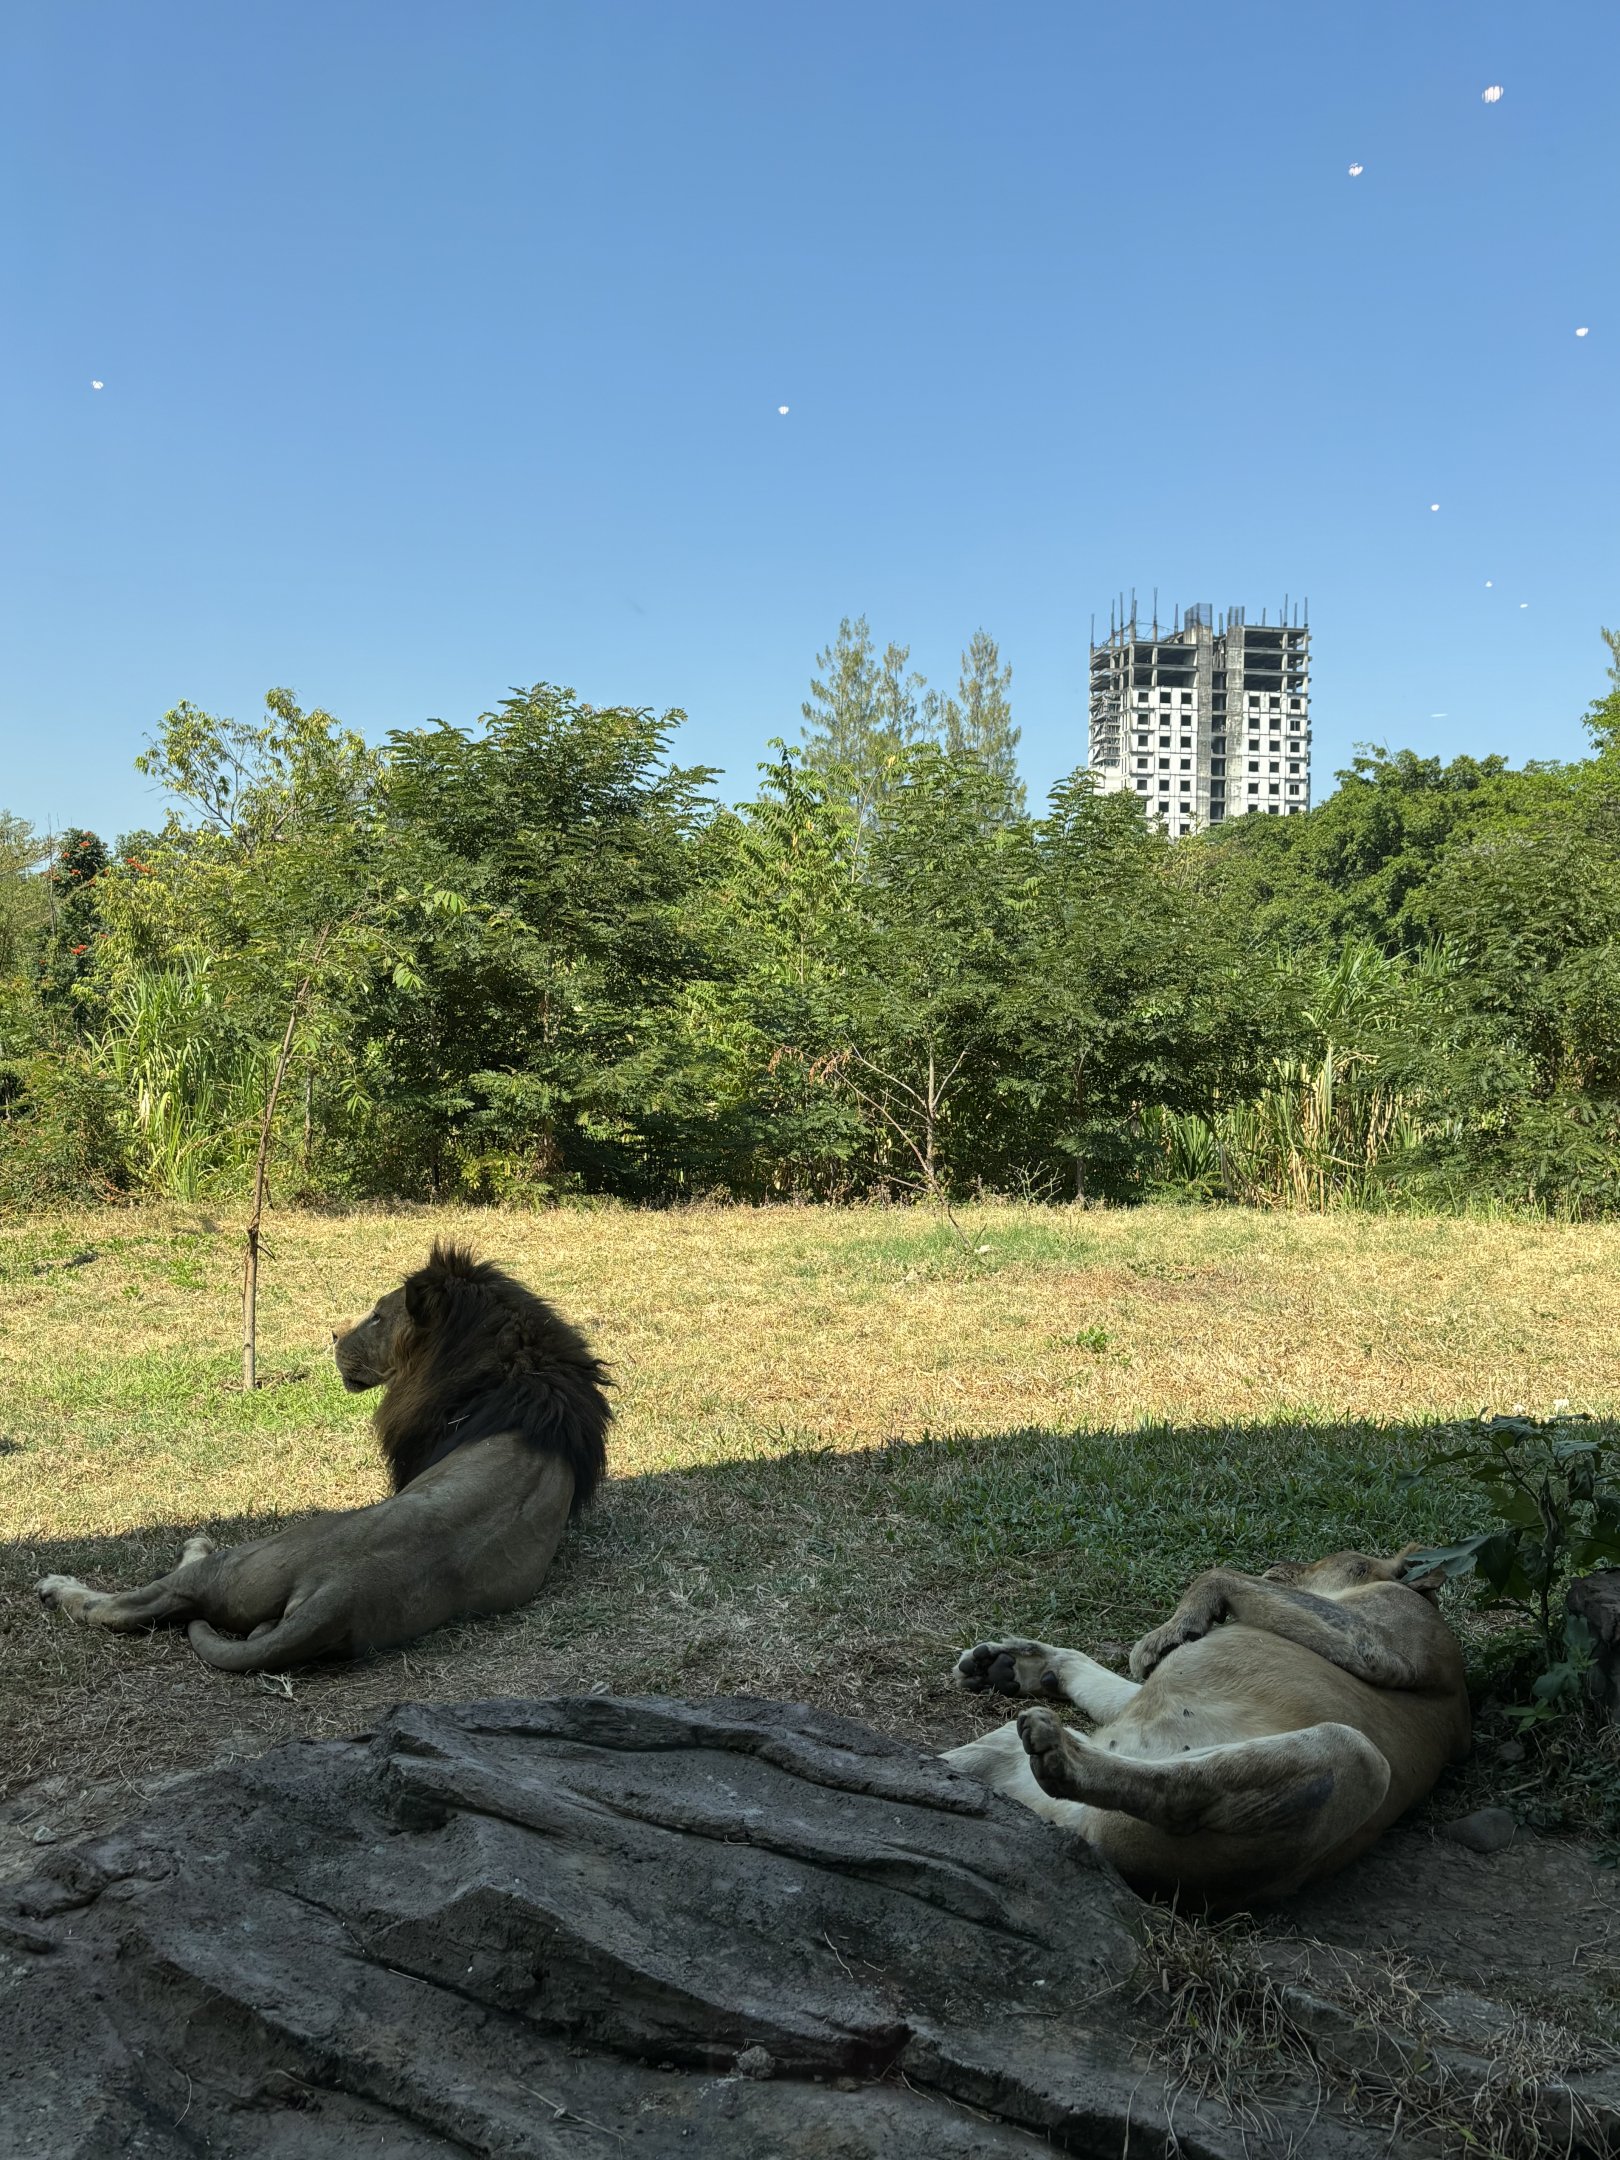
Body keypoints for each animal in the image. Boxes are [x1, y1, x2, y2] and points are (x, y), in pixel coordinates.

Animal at [36, 1242, 610, 1673]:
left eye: (377, 1316)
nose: (333, 1334)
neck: (513, 1370)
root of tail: (338, 1594)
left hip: (249, 1557)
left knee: (127, 1606)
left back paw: (73, 1583)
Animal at [943, 1547, 1470, 1910]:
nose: (1279, 1565)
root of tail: (1072, 1823)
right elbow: (1104, 1680)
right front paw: (1013, 1665)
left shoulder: (1386, 1642)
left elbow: (1218, 1572)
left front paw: (1165, 1634)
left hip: (1354, 1754)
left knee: (1179, 1791)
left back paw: (1063, 1755)